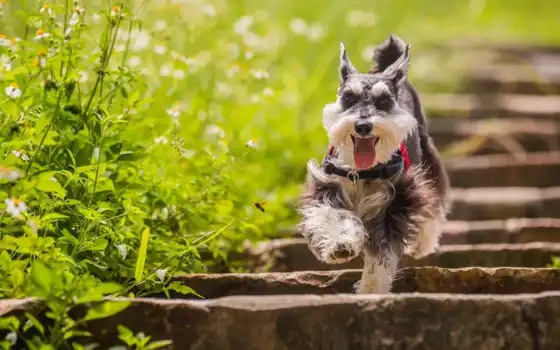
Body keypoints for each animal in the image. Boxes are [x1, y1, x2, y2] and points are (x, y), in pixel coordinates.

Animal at [298, 34, 450, 292]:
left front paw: (371, 287)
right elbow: (332, 216)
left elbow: (382, 252)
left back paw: (423, 243)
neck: (362, 171)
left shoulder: (395, 202)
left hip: (427, 158)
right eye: (348, 97)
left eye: (384, 101)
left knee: (434, 200)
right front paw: (340, 244)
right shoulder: (327, 187)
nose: (362, 126)